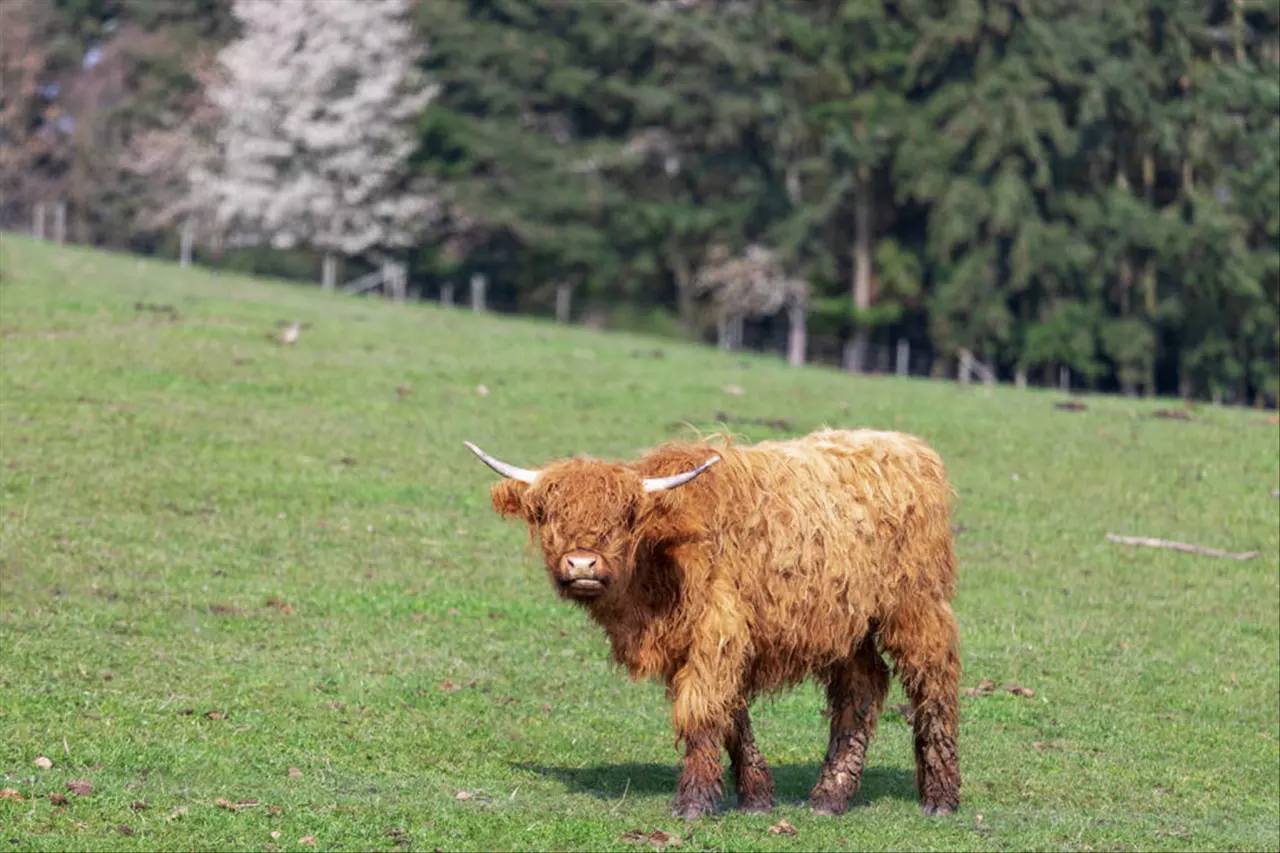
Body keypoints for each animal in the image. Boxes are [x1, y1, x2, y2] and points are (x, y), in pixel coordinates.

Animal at [468, 427, 962, 819]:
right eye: (546, 515)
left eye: (626, 517)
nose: (582, 564)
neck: (661, 558)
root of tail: (907, 446)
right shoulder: (696, 644)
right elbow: (731, 715)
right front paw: (757, 797)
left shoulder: (717, 632)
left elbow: (703, 711)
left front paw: (694, 802)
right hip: (848, 625)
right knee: (861, 688)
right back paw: (829, 797)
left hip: (916, 606)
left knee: (934, 681)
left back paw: (941, 799)